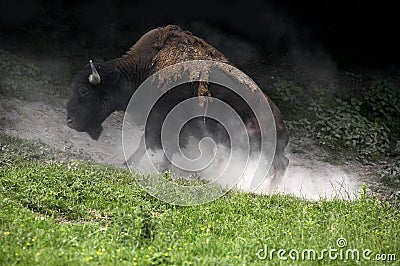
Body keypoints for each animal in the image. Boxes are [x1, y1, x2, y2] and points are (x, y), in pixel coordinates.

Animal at [67, 24, 290, 187]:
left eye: (84, 90)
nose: (69, 121)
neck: (148, 66)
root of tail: (281, 123)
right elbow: (148, 144)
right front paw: (128, 164)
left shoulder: (165, 120)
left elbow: (158, 145)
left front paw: (158, 169)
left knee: (280, 164)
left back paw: (267, 189)